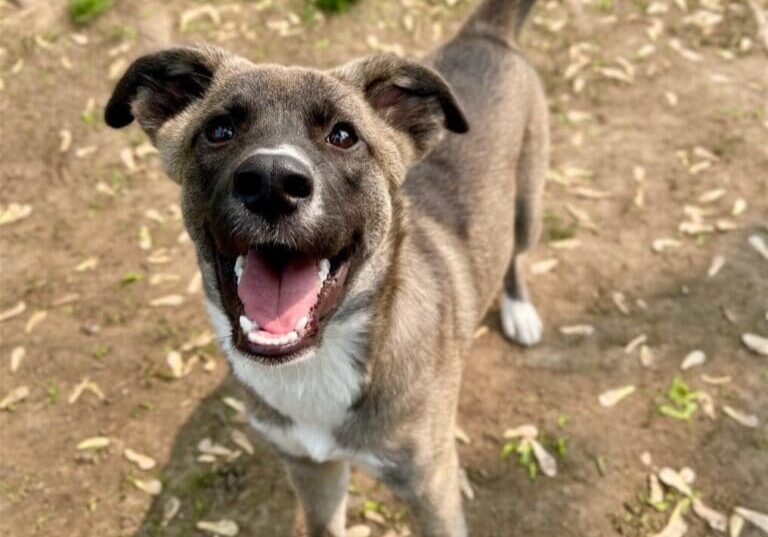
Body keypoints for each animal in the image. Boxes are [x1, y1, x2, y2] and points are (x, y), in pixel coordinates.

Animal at [105, 2, 544, 532]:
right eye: (219, 130)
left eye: (344, 136)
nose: (271, 183)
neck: (316, 363)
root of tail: (485, 34)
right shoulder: (311, 470)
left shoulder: (431, 489)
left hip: (527, 207)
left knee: (515, 255)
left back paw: (519, 309)